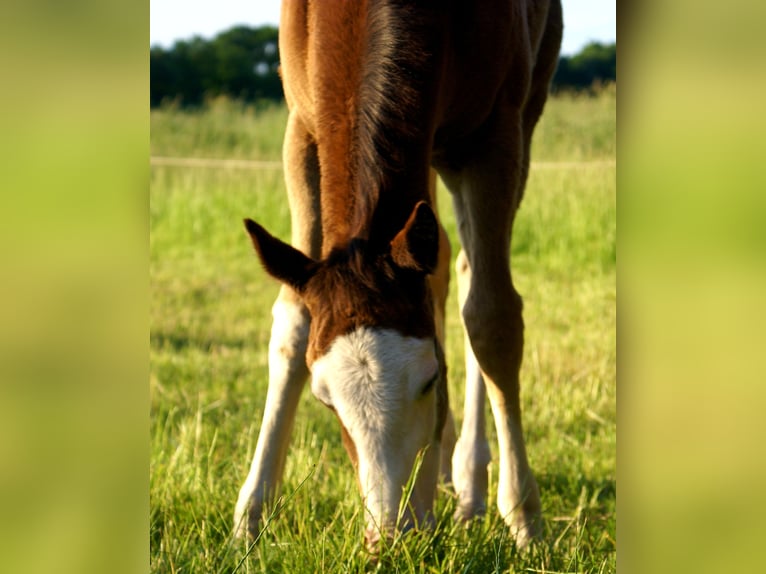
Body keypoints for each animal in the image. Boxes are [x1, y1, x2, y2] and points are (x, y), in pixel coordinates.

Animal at [234, 0, 563, 549]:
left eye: (431, 380)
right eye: (324, 399)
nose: (390, 535)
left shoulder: (495, 135)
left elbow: (492, 318)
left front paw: (525, 518)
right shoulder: (302, 128)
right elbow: (294, 321)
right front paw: (250, 515)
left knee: (470, 273)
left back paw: (471, 484)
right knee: (444, 265)